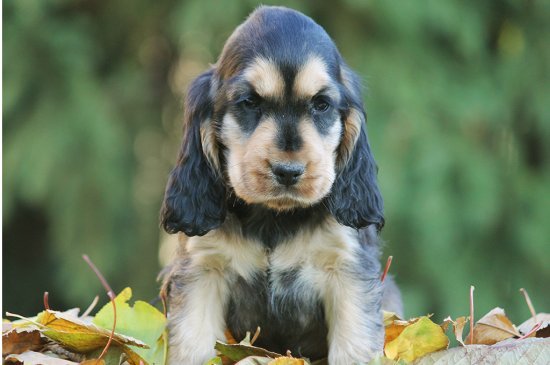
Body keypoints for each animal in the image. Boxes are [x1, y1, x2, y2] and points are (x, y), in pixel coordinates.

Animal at [162, 5, 404, 364]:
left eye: (321, 104)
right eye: (250, 102)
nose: (288, 171)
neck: (273, 218)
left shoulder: (347, 270)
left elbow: (353, 344)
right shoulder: (202, 270)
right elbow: (193, 344)